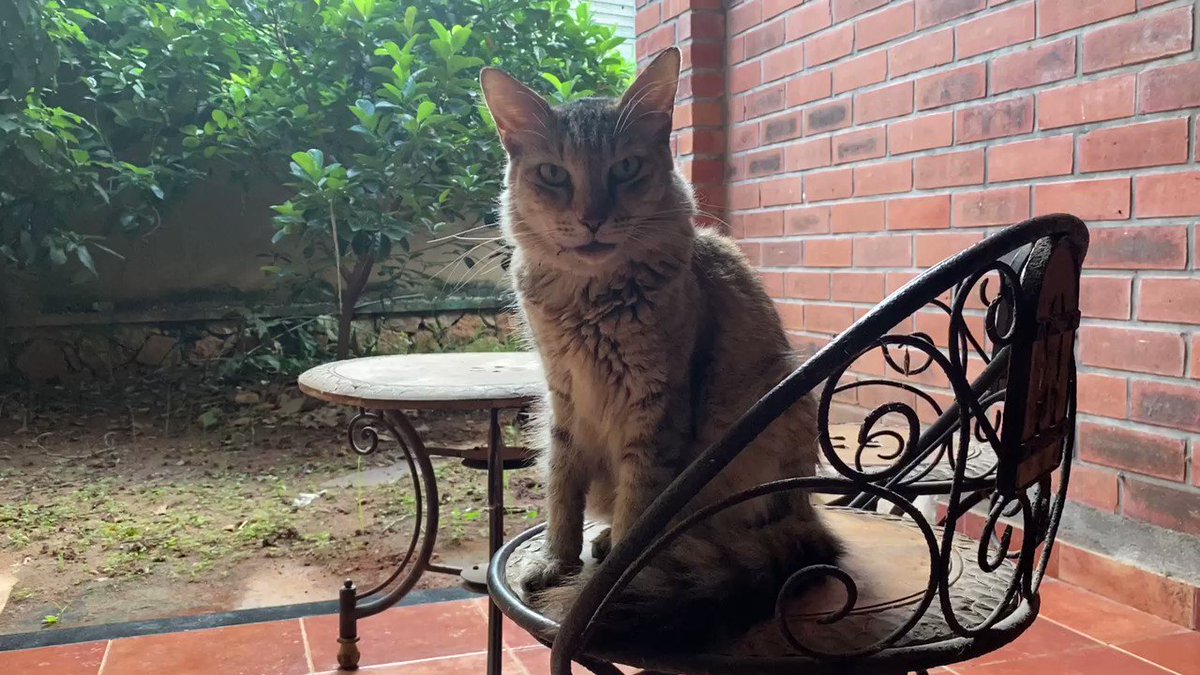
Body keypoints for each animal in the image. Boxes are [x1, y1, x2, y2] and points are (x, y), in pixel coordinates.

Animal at [479, 47, 842, 648]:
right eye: (553, 174)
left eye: (625, 169)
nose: (592, 218)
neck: (590, 302)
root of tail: (805, 511)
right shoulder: (562, 402)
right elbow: (561, 491)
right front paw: (556, 560)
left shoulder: (654, 412)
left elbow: (636, 510)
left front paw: (608, 581)